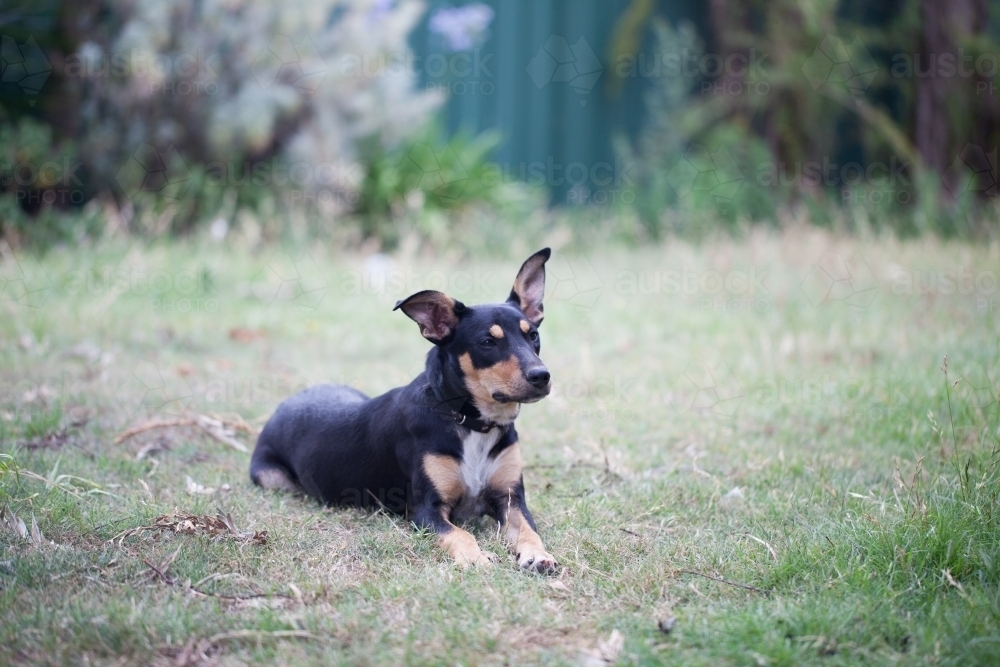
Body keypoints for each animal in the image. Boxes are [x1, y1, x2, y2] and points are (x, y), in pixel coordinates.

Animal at [250, 250, 560, 576]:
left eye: (533, 335)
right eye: (487, 342)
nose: (541, 376)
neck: (470, 422)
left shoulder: (510, 498)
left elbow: (529, 529)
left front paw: (538, 555)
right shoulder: (426, 510)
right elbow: (461, 534)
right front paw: (476, 558)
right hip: (274, 479)